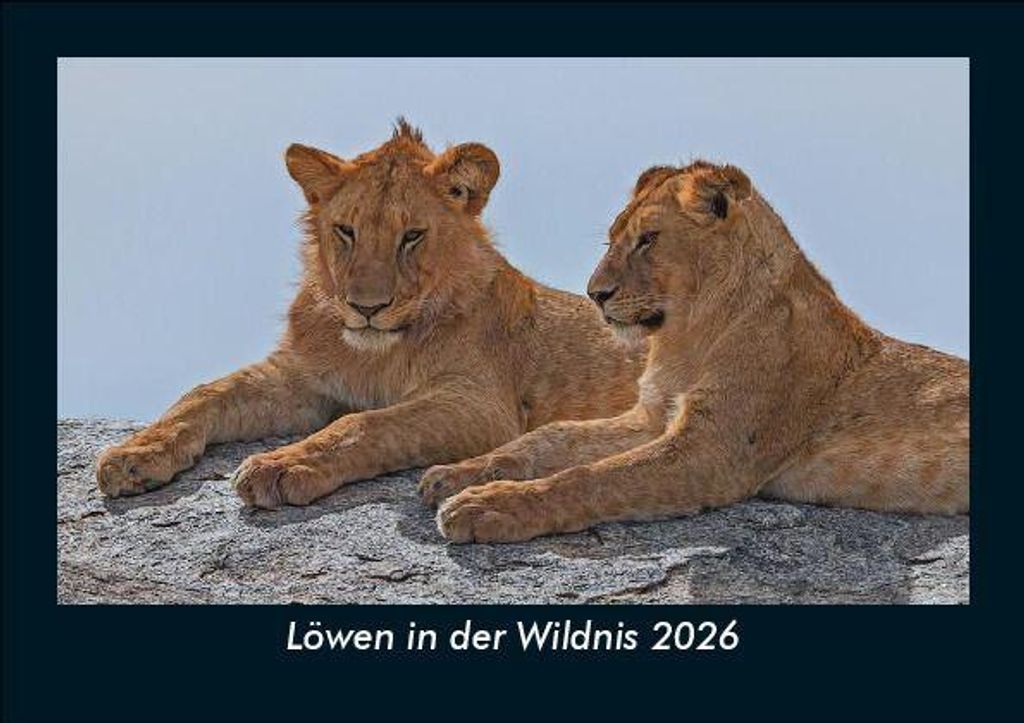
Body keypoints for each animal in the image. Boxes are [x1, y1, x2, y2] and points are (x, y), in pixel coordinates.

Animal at [96, 121, 645, 507]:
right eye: (346, 231)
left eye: (412, 236)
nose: (366, 308)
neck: (373, 353)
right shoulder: (300, 378)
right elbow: (204, 393)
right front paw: (134, 454)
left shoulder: (481, 405)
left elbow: (365, 424)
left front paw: (281, 466)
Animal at [425, 160, 969, 543]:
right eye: (611, 239)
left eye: (648, 239)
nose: (595, 294)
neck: (687, 336)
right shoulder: (651, 417)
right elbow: (549, 438)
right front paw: (456, 473)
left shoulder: (712, 452)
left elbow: (591, 478)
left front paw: (487, 506)